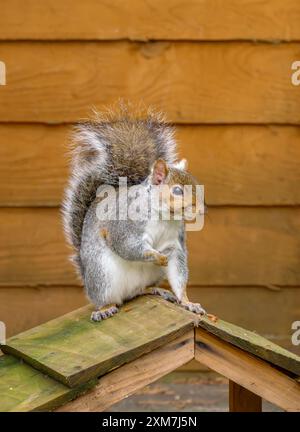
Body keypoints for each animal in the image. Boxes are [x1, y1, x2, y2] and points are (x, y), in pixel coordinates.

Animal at [62, 104, 207, 320]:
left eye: (196, 184)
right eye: (177, 191)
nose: (202, 209)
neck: (164, 217)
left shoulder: (175, 242)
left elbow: (178, 272)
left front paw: (188, 302)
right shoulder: (125, 227)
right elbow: (128, 245)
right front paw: (157, 257)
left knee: (138, 291)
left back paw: (156, 290)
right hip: (102, 275)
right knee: (107, 299)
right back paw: (104, 309)